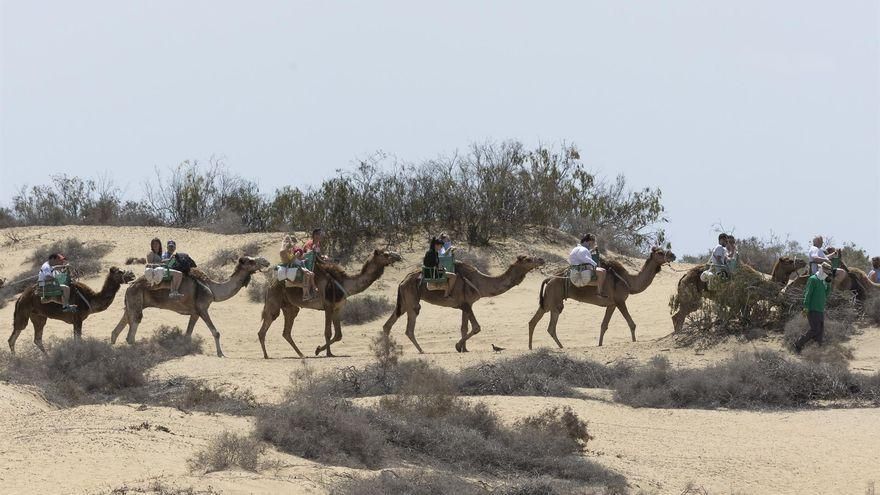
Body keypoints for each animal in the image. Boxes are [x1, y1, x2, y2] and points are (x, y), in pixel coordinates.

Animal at [110, 256, 270, 357]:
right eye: (251, 260)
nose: (266, 261)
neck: (212, 289)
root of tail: (130, 286)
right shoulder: (202, 308)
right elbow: (216, 332)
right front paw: (220, 353)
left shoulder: (194, 313)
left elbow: (188, 335)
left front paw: (186, 350)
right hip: (136, 301)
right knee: (132, 332)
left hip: (131, 304)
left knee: (117, 329)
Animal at [257, 249, 402, 358]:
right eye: (386, 254)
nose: (398, 256)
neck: (345, 283)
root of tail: (270, 284)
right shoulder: (328, 306)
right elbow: (328, 332)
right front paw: (323, 352)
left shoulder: (338, 308)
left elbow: (338, 334)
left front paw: (323, 351)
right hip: (274, 301)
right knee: (265, 327)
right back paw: (266, 355)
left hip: (290, 307)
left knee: (286, 332)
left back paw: (301, 354)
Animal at [384, 255, 546, 354]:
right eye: (528, 259)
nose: (542, 260)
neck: (479, 282)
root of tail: (402, 280)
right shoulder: (465, 304)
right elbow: (476, 327)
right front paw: (457, 346)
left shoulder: (466, 305)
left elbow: (464, 327)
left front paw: (464, 349)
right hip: (412, 300)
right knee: (409, 327)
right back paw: (421, 350)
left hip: (404, 301)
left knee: (388, 324)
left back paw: (386, 351)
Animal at [528, 247, 676, 349]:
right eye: (660, 252)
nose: (673, 255)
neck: (629, 281)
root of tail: (549, 279)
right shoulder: (620, 301)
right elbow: (631, 324)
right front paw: (634, 342)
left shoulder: (611, 304)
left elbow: (604, 325)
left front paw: (599, 344)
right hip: (553, 299)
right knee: (544, 324)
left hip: (551, 301)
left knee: (540, 323)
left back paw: (538, 347)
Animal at [670, 256, 807, 332]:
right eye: (789, 261)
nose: (803, 261)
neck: (759, 285)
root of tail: (683, 277)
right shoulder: (738, 302)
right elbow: (732, 317)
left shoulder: (745, 305)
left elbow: (745, 318)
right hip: (692, 297)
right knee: (679, 315)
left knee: (678, 316)